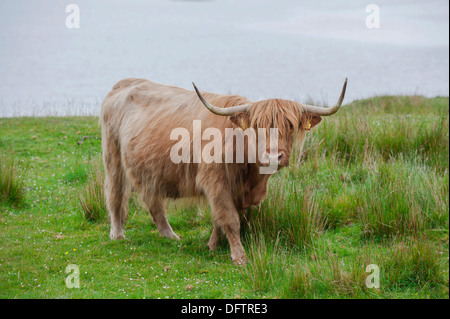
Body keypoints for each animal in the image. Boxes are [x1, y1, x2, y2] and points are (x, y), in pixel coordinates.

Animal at [101, 78, 348, 264]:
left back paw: (170, 236)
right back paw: (118, 234)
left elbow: (224, 218)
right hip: (113, 159)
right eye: (257, 126)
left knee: (153, 201)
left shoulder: (243, 192)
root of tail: (124, 83)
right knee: (115, 196)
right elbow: (230, 218)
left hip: (149, 171)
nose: (273, 156)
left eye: (290, 125)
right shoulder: (215, 182)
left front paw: (212, 245)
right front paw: (239, 256)